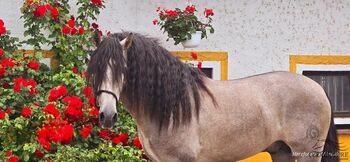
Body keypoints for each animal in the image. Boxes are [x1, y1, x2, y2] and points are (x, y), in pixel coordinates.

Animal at [87, 32, 340, 162]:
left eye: (122, 69)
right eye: (95, 70)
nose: (107, 116)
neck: (173, 108)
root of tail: (318, 87)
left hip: (307, 153)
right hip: (281, 151)